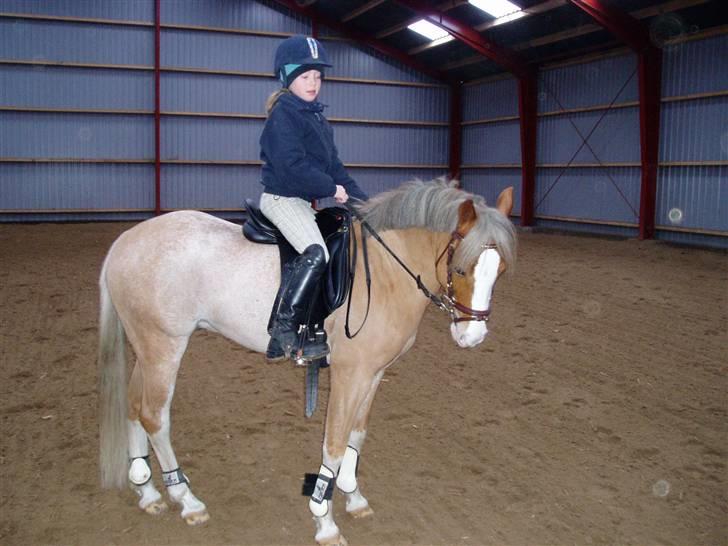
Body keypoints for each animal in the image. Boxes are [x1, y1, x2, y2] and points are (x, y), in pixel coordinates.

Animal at [98, 178, 516, 545]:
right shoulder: (351, 374)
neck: (385, 270)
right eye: (460, 268)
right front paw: (325, 521)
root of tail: (123, 243)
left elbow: (356, 434)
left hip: (146, 348)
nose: (472, 336)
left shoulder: (374, 373)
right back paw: (187, 500)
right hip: (164, 347)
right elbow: (334, 442)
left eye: (501, 270)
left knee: (133, 406)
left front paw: (353, 496)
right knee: (154, 416)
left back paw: (148, 492)